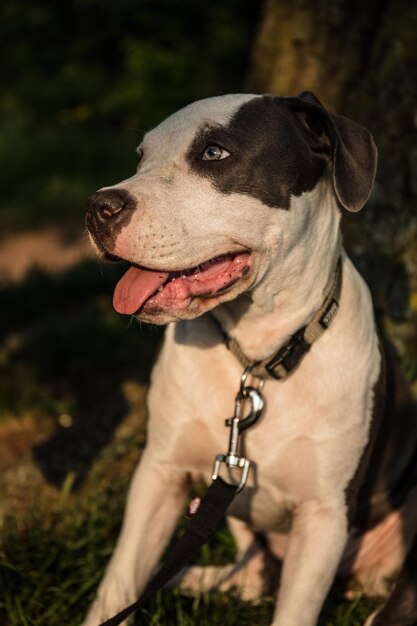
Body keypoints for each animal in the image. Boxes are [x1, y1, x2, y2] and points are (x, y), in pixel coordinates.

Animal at [82, 89, 416, 624]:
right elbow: (119, 583)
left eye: (214, 153)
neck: (260, 355)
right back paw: (186, 581)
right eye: (141, 157)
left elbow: (295, 611)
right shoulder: (159, 473)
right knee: (252, 577)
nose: (97, 206)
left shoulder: (323, 515)